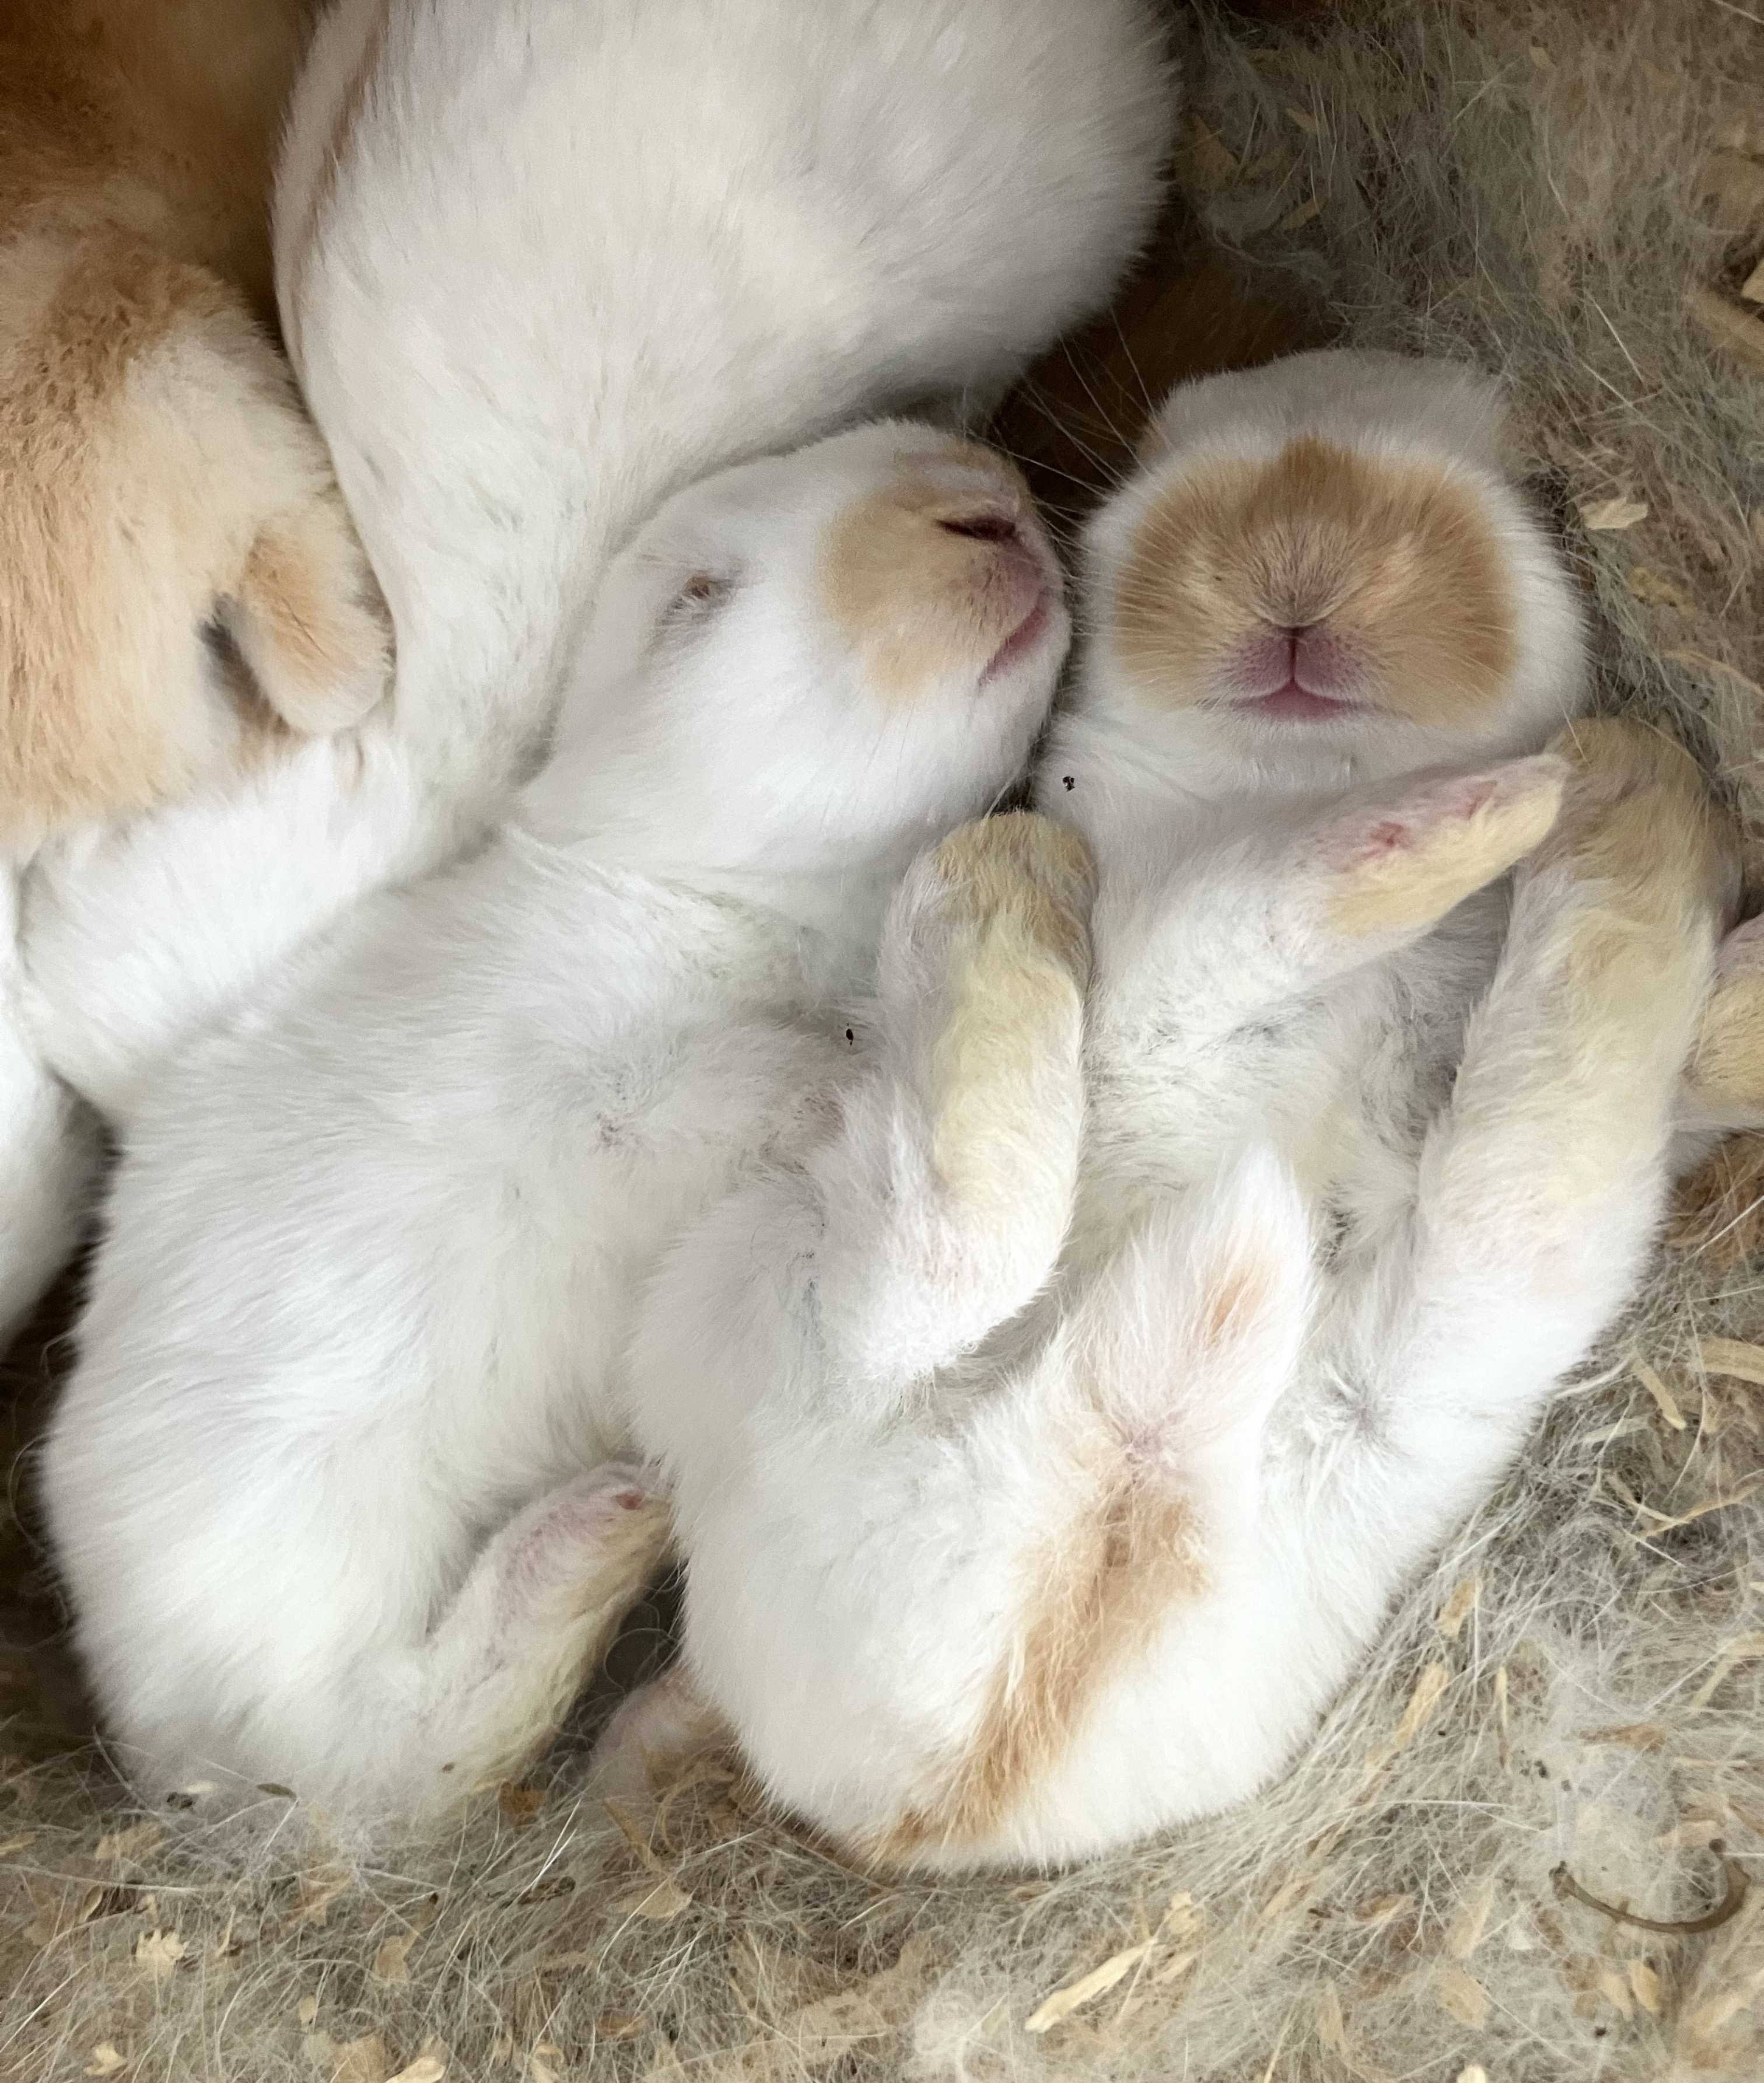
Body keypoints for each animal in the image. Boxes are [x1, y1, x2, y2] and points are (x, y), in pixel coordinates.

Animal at [41, 421, 1072, 1818]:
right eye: (698, 597)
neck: (692, 883)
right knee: (384, 1750)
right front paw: (843, 1074)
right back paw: (599, 1541)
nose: (985, 506)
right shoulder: (612, 1089)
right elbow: (733, 1082)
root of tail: (161, 1743)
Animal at [605, 350, 1738, 1868]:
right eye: (1166, 439)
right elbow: (1235, 915)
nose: (1298, 558)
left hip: (1410, 1368)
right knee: (947, 1251)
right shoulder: (1153, 955)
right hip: (793, 1292)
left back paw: (1591, 803)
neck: (1295, 774)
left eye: (1534, 481)